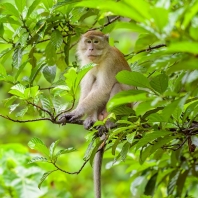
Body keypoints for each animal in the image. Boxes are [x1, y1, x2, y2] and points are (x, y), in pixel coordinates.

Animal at [59, 30, 132, 197]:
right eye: (88, 41)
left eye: (96, 42)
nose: (91, 49)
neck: (101, 58)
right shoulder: (87, 64)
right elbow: (88, 85)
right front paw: (80, 115)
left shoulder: (110, 62)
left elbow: (104, 88)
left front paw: (77, 111)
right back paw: (93, 120)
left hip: (127, 108)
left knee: (115, 86)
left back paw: (110, 122)